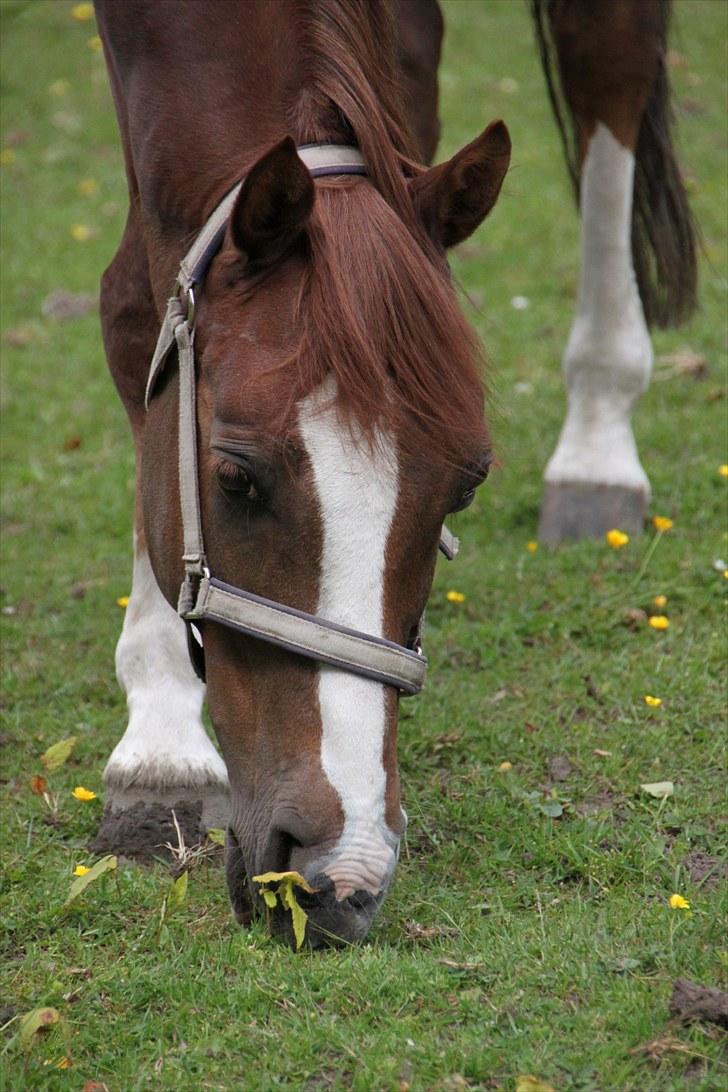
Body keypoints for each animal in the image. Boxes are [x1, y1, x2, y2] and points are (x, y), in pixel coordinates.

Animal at [91, 0, 694, 947]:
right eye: (234, 478)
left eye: (466, 486)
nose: (339, 870)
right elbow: (132, 311)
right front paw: (159, 739)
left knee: (608, 55)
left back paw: (599, 448)